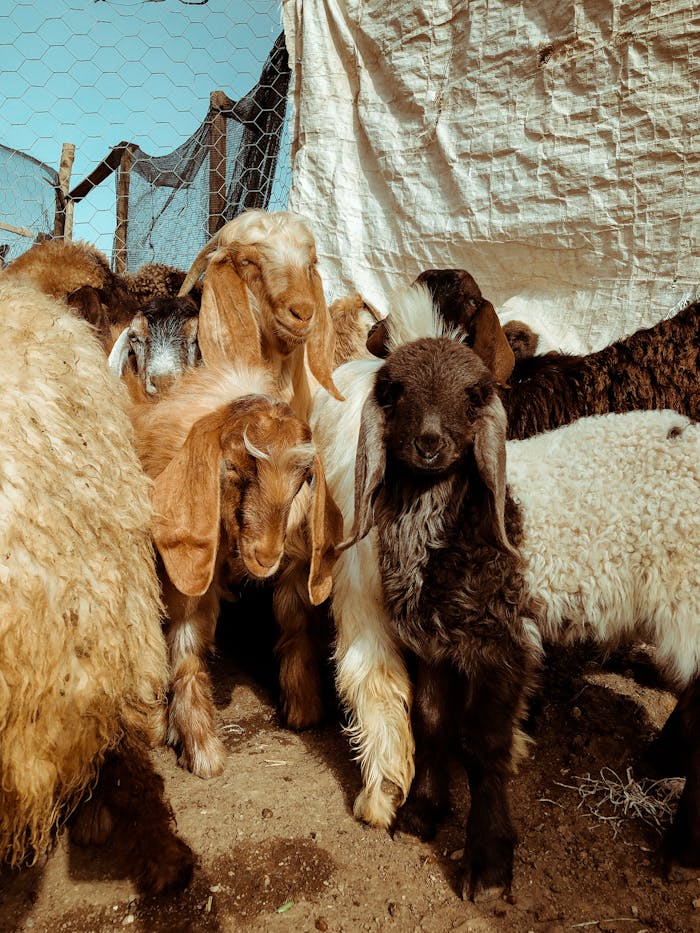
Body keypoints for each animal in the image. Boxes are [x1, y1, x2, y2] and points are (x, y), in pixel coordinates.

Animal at [129, 363, 343, 777]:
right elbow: (186, 646)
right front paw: (201, 750)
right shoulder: (189, 573)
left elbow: (295, 622)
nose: (266, 556)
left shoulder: (295, 562)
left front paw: (304, 708)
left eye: (303, 479)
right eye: (231, 468)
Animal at [343, 336, 700, 899]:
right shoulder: (436, 640)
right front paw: (423, 812)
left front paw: (488, 863)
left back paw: (683, 850)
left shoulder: (504, 641)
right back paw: (660, 762)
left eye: (474, 396)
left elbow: (482, 745)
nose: (429, 444)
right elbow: (431, 722)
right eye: (394, 391)